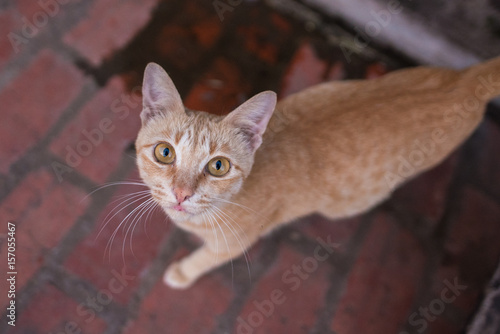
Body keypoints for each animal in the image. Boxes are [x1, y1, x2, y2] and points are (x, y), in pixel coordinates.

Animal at [136, 56, 500, 288]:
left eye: (218, 166)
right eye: (165, 153)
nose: (182, 194)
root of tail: (468, 80)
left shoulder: (234, 244)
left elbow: (205, 259)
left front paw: (182, 273)